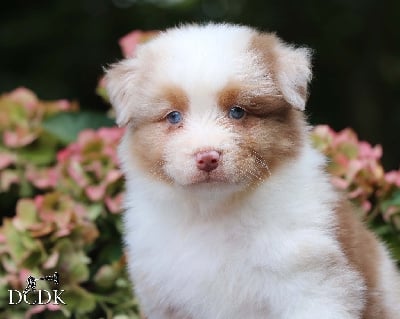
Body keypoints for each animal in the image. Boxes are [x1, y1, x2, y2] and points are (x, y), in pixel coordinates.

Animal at [104, 23, 400, 318]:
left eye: (237, 112)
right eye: (174, 116)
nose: (207, 157)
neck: (213, 212)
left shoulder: (312, 285)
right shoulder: (165, 297)